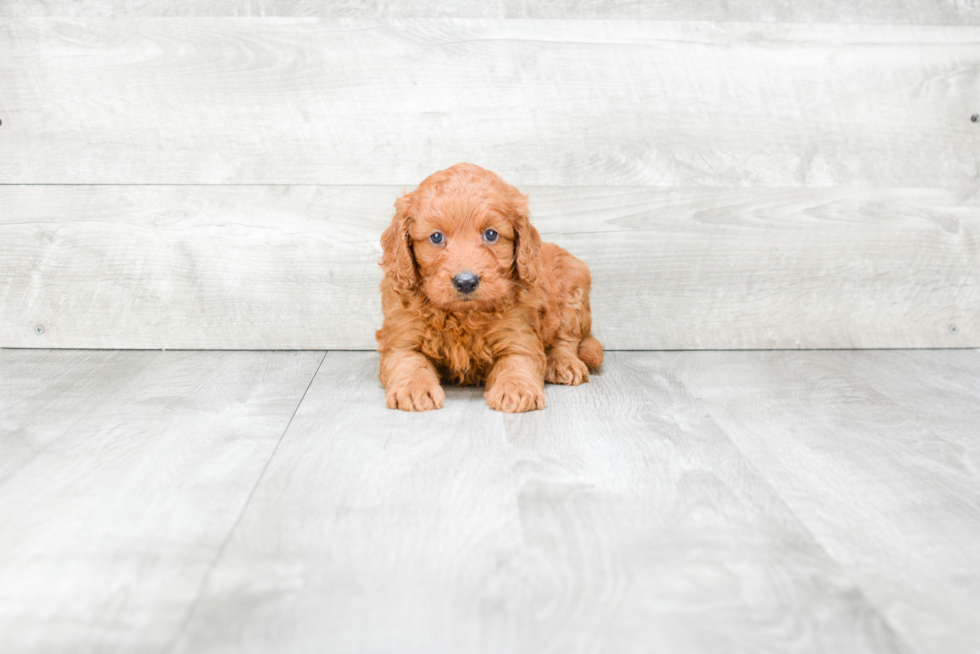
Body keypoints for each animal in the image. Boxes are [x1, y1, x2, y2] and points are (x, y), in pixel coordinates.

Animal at [378, 161, 600, 412]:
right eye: (436, 237)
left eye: (491, 234)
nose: (466, 282)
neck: (463, 316)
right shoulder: (402, 338)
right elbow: (409, 361)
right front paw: (414, 389)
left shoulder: (518, 334)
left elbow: (517, 362)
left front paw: (516, 389)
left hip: (574, 288)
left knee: (567, 339)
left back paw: (564, 363)